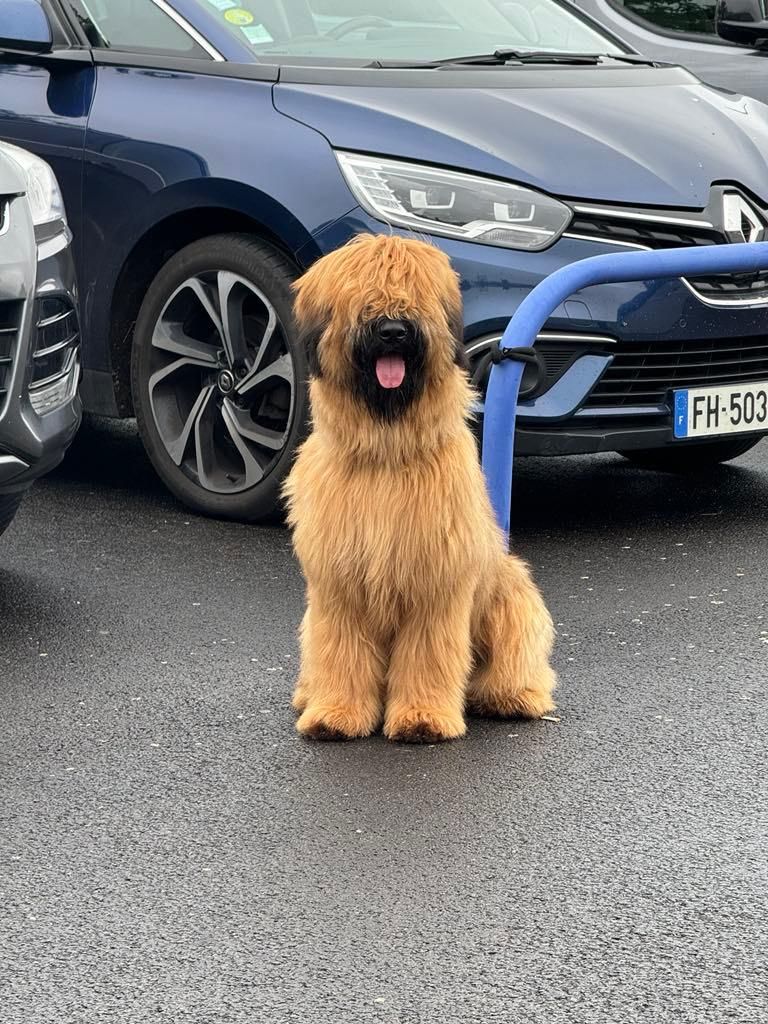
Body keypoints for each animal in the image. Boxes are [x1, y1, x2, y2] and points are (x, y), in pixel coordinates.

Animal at [286, 234, 557, 745]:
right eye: (364, 291)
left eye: (414, 290)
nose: (393, 330)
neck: (387, 452)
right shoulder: (337, 588)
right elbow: (341, 652)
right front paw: (336, 713)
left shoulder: (435, 586)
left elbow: (428, 655)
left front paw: (422, 718)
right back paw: (308, 694)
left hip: (511, 594)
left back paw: (515, 697)